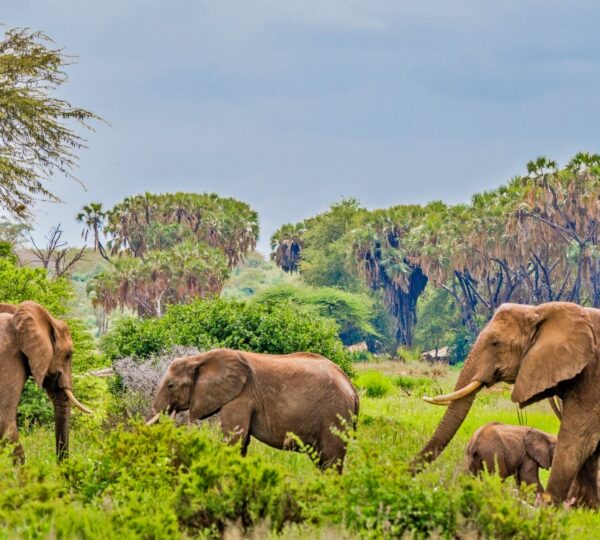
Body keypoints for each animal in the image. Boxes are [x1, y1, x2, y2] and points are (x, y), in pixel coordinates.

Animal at [147, 348, 358, 470]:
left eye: (171, 386)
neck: (199, 358)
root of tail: (352, 388)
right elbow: (242, 442)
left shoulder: (241, 397)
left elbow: (234, 439)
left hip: (335, 415)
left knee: (330, 461)